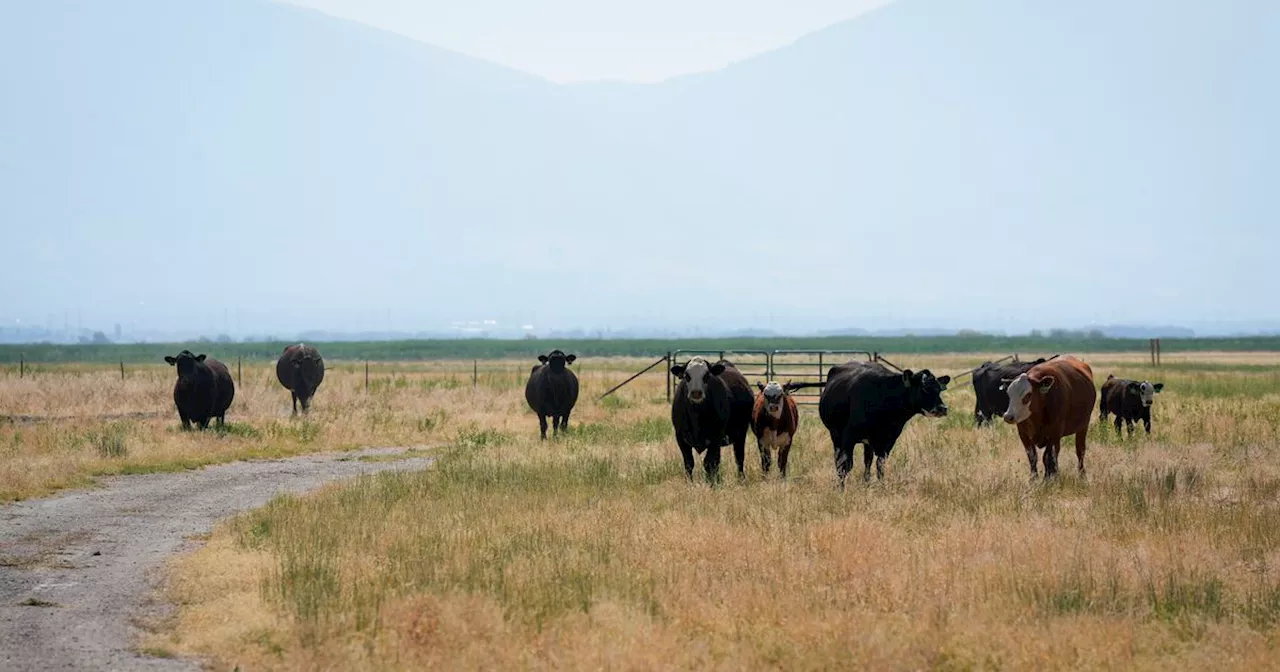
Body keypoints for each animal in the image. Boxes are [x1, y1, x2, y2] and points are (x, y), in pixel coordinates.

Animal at [819, 360, 952, 486]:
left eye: (939, 389)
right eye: (924, 389)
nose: (943, 408)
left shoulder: (889, 439)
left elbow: (880, 465)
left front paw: (882, 486)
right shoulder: (848, 437)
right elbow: (845, 466)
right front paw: (841, 489)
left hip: (867, 442)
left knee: (867, 461)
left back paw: (866, 483)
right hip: (836, 435)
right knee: (839, 461)